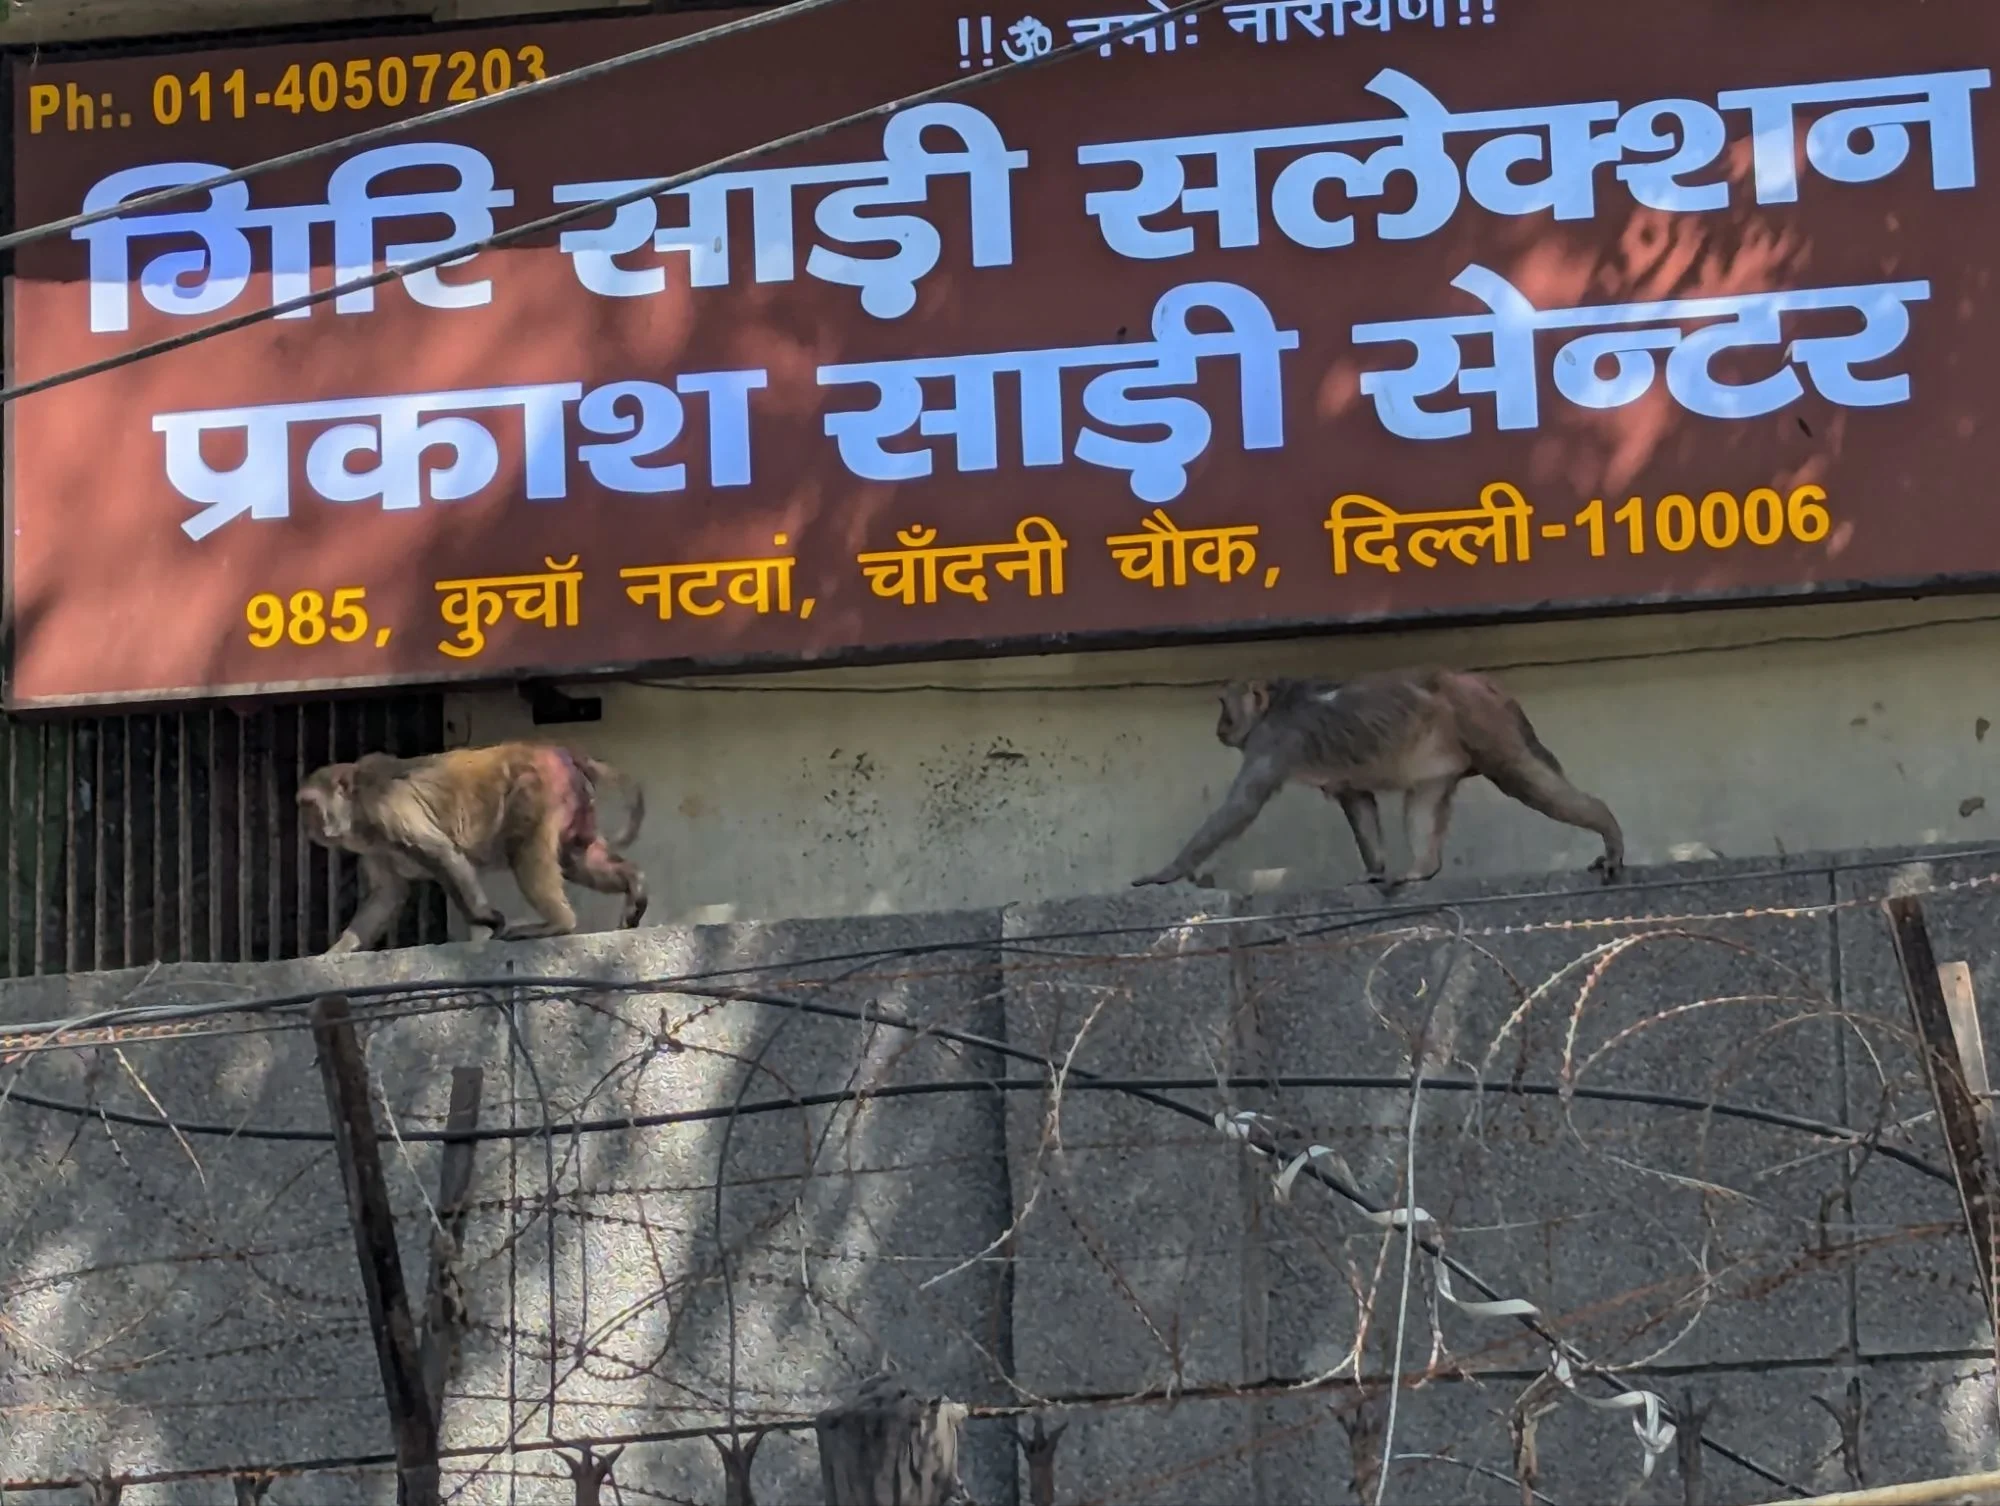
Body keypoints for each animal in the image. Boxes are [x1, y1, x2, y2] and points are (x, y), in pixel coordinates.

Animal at [297, 741, 648, 955]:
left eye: (311, 806)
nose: (308, 828)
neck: (357, 804)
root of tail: (557, 751)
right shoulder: (375, 848)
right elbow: (386, 896)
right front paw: (337, 952)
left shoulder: (386, 809)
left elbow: (443, 854)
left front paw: (486, 921)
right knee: (575, 857)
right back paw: (634, 883)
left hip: (538, 791)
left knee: (526, 851)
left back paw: (559, 923)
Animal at [1132, 668, 1623, 890]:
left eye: (1224, 705)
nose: (1218, 727)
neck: (1274, 702)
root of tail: (1482, 685)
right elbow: (1359, 800)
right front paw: (1374, 871)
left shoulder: (1274, 740)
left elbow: (1242, 806)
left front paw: (1167, 873)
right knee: (1423, 803)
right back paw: (1422, 868)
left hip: (1485, 727)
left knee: (1525, 780)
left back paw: (1607, 826)